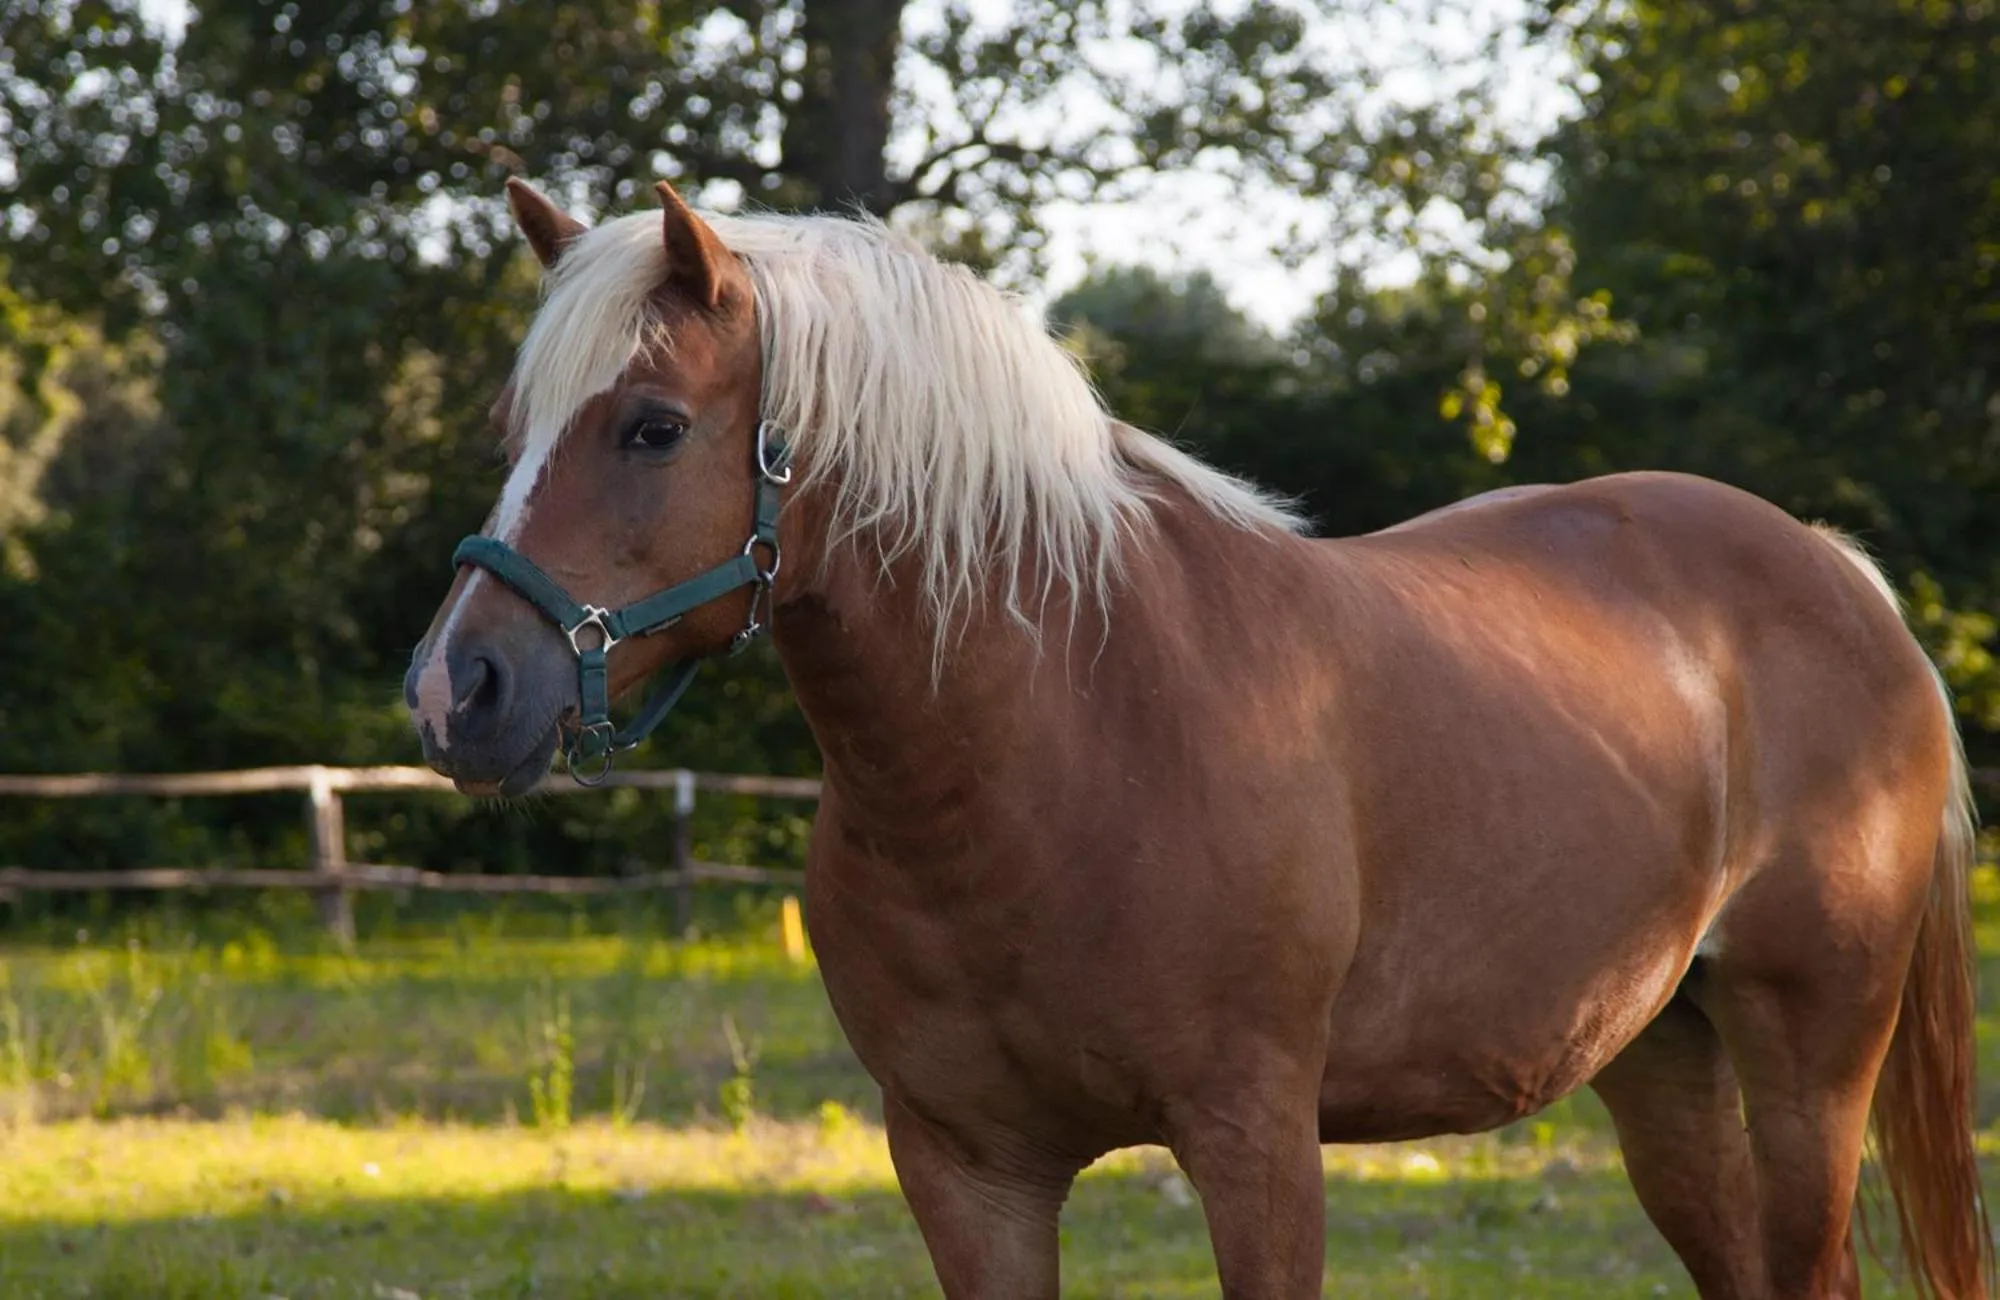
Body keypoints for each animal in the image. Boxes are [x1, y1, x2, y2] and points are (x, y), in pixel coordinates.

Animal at [405, 179, 1990, 1299]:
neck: (1068, 741)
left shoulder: (1254, 1143)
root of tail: (1835, 572)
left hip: (1810, 1059)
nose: (455, 690)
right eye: (512, 424)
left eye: (653, 427)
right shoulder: (967, 1168)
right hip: (1662, 1056)